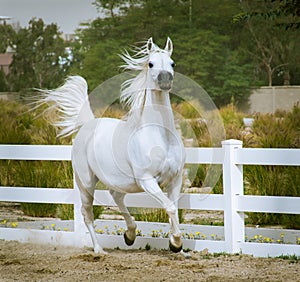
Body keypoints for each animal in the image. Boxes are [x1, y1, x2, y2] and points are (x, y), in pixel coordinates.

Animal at [38, 37, 185, 253]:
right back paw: (99, 250)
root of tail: (88, 123)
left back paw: (130, 235)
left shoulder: (175, 179)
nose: (165, 80)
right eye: (151, 64)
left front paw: (176, 245)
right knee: (87, 214)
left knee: (116, 197)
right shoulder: (147, 180)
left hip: (119, 181)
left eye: (172, 63)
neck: (160, 136)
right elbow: (170, 207)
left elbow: (173, 208)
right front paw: (176, 243)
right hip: (86, 183)